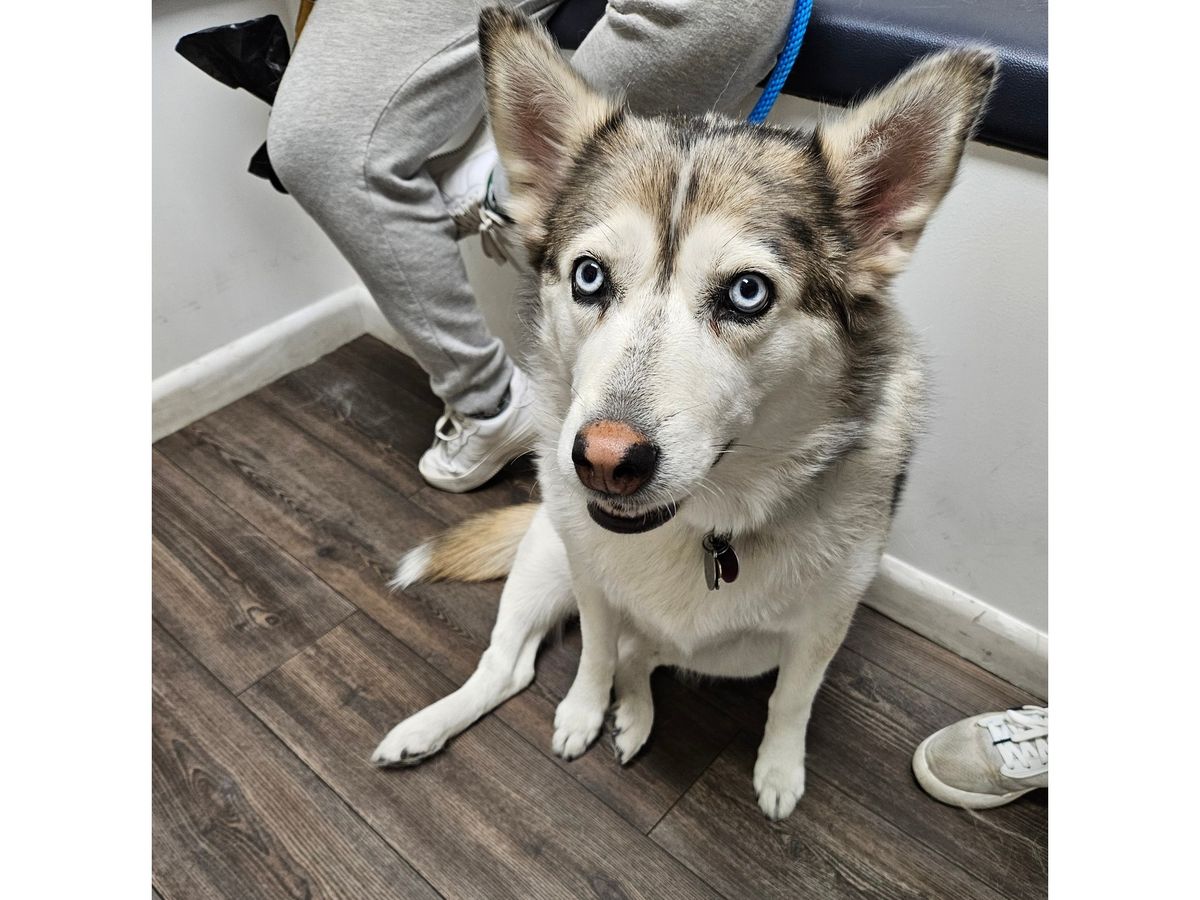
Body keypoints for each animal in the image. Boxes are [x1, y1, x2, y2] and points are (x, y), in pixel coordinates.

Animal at [371, 7, 997, 821]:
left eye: (747, 293)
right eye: (589, 276)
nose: (603, 460)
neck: (704, 531)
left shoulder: (821, 628)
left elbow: (792, 702)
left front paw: (779, 771)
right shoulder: (591, 580)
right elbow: (594, 650)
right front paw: (581, 710)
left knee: (639, 659)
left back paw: (634, 715)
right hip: (547, 557)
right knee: (512, 666)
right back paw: (434, 729)